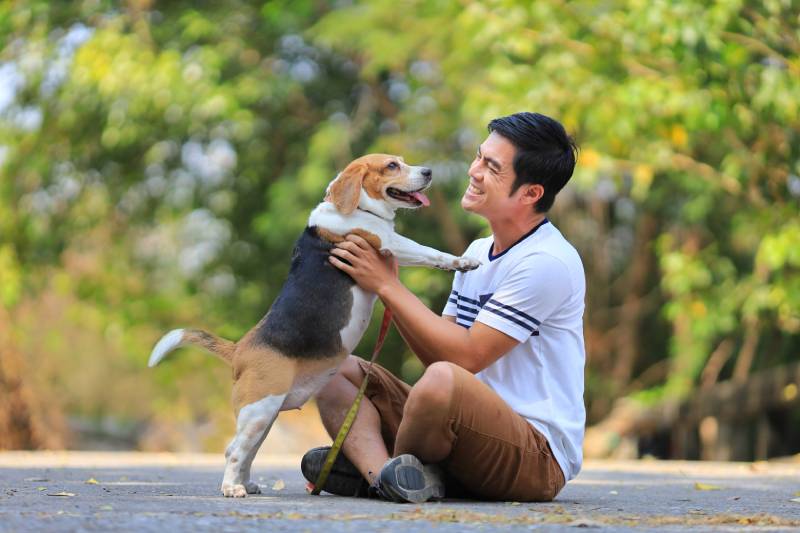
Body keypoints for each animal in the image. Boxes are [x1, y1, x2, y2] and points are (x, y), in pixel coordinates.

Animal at [150, 153, 482, 494]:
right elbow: (428, 252)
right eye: (392, 165)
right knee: (233, 451)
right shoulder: (388, 240)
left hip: (266, 416)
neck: (355, 208)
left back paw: (248, 484)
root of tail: (240, 347)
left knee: (248, 452)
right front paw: (463, 261)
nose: (429, 172)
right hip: (259, 411)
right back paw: (232, 488)